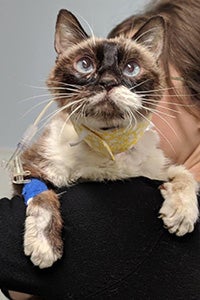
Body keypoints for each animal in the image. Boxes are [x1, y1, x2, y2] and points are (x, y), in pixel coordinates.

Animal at [14, 9, 198, 268]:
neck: (107, 143)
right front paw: (44, 247)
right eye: (85, 65)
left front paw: (181, 216)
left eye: (131, 68)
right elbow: (43, 197)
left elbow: (185, 176)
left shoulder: (155, 170)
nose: (108, 82)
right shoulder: (30, 168)